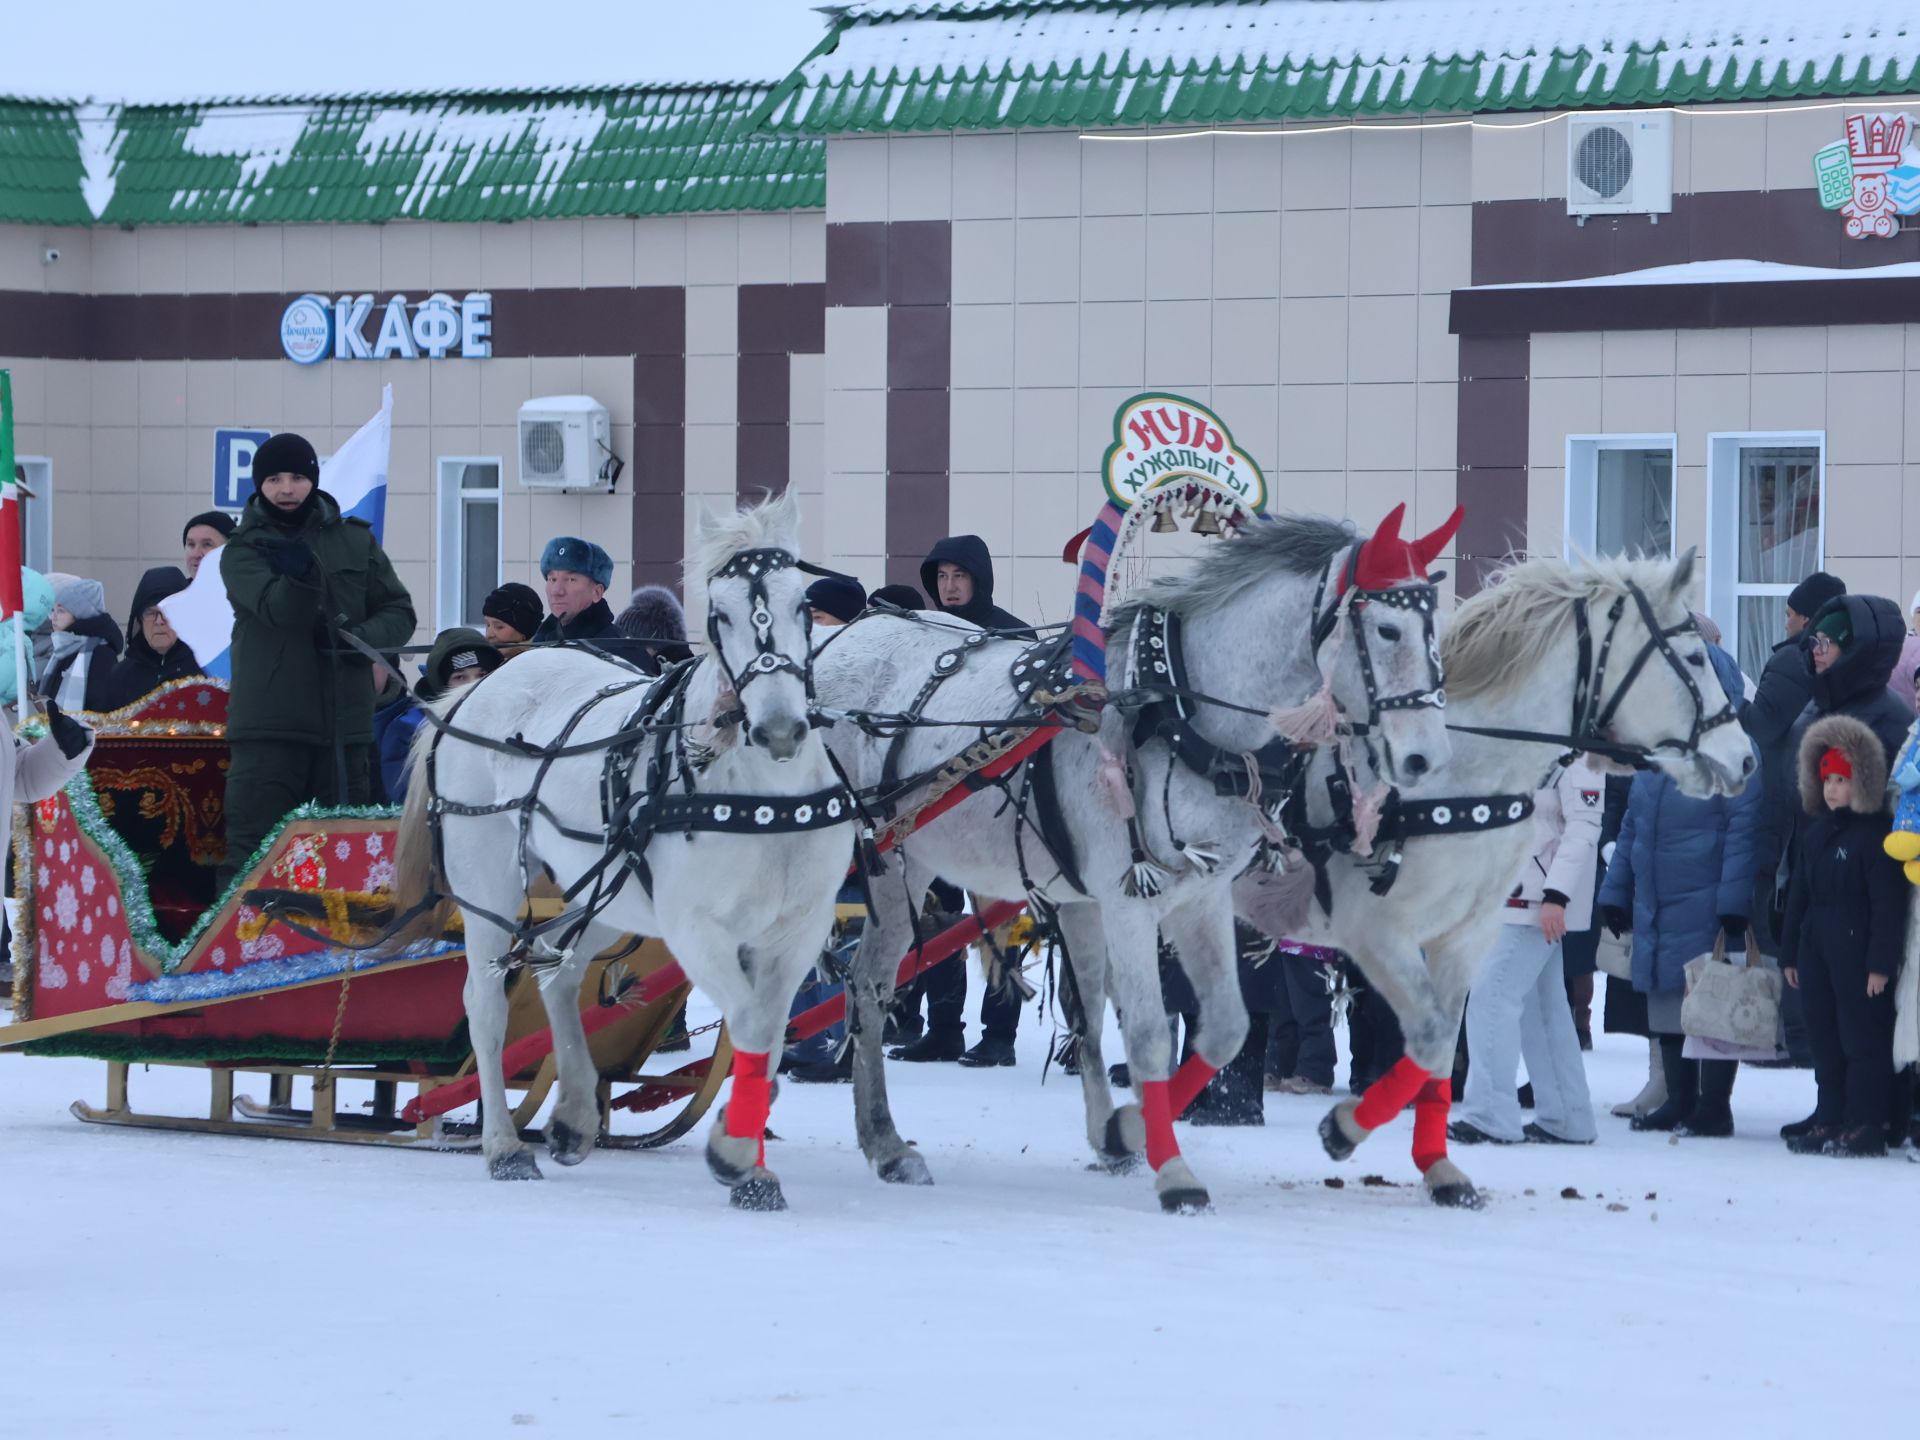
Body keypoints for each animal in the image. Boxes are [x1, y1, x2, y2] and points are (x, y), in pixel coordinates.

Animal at [389, 491, 848, 1213]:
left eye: (801, 604)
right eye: (719, 613)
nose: (779, 729)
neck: (762, 794)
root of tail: (481, 688)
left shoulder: (796, 930)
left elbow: (770, 1037)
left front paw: (751, 1165)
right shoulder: (697, 930)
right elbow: (749, 1022)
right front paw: (735, 1153)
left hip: (604, 889)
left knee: (559, 967)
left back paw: (574, 1116)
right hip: (488, 882)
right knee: (486, 1004)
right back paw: (504, 1146)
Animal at [810, 514, 1451, 1213]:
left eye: (1433, 627)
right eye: (1386, 629)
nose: (1425, 760)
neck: (1174, 708)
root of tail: (838, 640)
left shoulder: (1198, 896)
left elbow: (1221, 1027)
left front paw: (1125, 1131)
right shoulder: (1128, 902)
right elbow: (1145, 1031)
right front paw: (1174, 1174)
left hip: (908, 861)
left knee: (877, 988)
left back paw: (885, 1143)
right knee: (845, 981)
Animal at [1244, 545, 1758, 1213]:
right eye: (1694, 657)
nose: (1747, 758)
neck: (1460, 778)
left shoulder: (1463, 937)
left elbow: (1438, 1047)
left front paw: (1434, 1166)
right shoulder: (1378, 934)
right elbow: (1432, 1038)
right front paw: (1349, 1128)